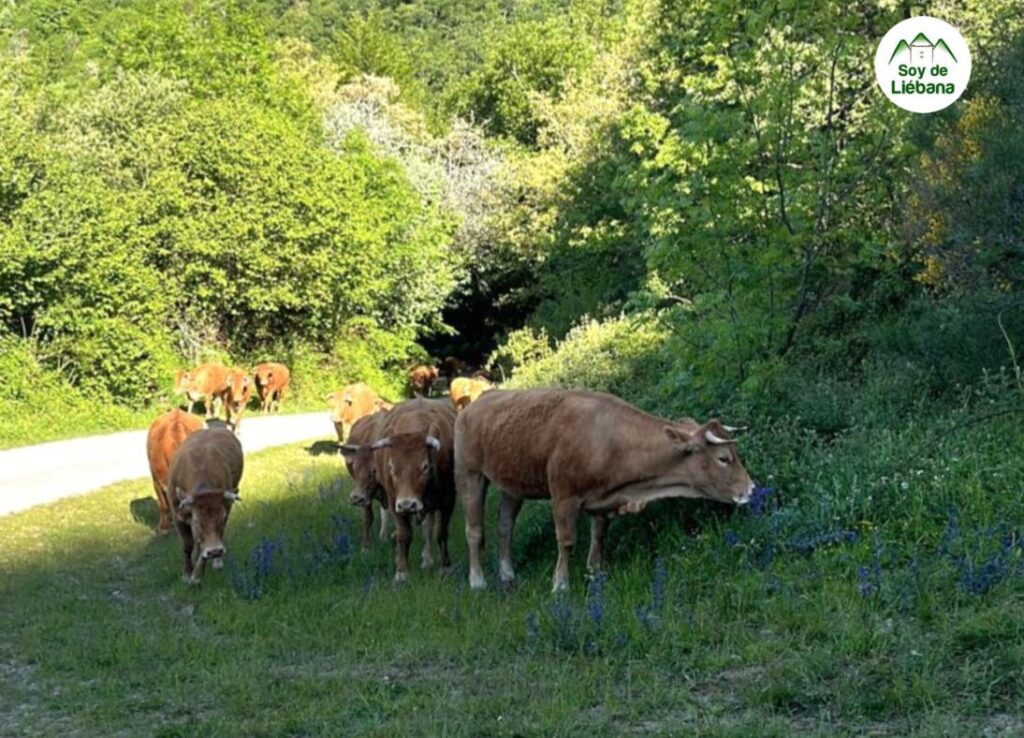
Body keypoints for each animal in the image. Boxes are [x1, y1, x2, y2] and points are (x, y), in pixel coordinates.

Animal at [167, 427, 244, 584]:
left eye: (222, 517)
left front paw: (197, 575)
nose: (215, 551)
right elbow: (187, 545)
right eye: (197, 520)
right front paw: (186, 572)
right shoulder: (177, 517)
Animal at [338, 410, 392, 551]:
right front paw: (366, 546)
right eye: (354, 466)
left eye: (374, 470)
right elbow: (368, 517)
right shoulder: (366, 495)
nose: (356, 498)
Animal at [370, 398, 456, 582]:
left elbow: (440, 532)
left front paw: (445, 566)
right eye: (391, 467)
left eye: (425, 467)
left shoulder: (448, 501)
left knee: (427, 528)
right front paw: (402, 571)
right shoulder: (394, 501)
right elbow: (404, 535)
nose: (407, 505)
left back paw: (427, 558)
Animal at [454, 389, 755, 592]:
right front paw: (560, 585)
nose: (751, 489)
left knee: (505, 527)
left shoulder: (603, 498)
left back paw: (507, 574)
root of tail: (476, 402)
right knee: (474, 531)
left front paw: (595, 573)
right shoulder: (564, 496)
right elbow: (567, 541)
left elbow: (599, 535)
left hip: (511, 484)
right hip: (470, 474)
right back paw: (477, 580)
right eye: (724, 458)